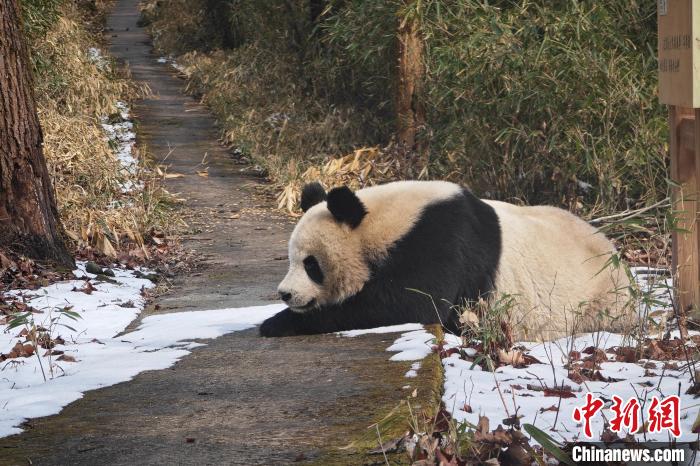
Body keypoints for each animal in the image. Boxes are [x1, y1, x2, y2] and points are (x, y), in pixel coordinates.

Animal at [260, 180, 632, 340]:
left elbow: (410, 304)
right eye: (291, 259)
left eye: (311, 264)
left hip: (600, 298)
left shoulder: (440, 240)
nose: (285, 294)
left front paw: (275, 323)